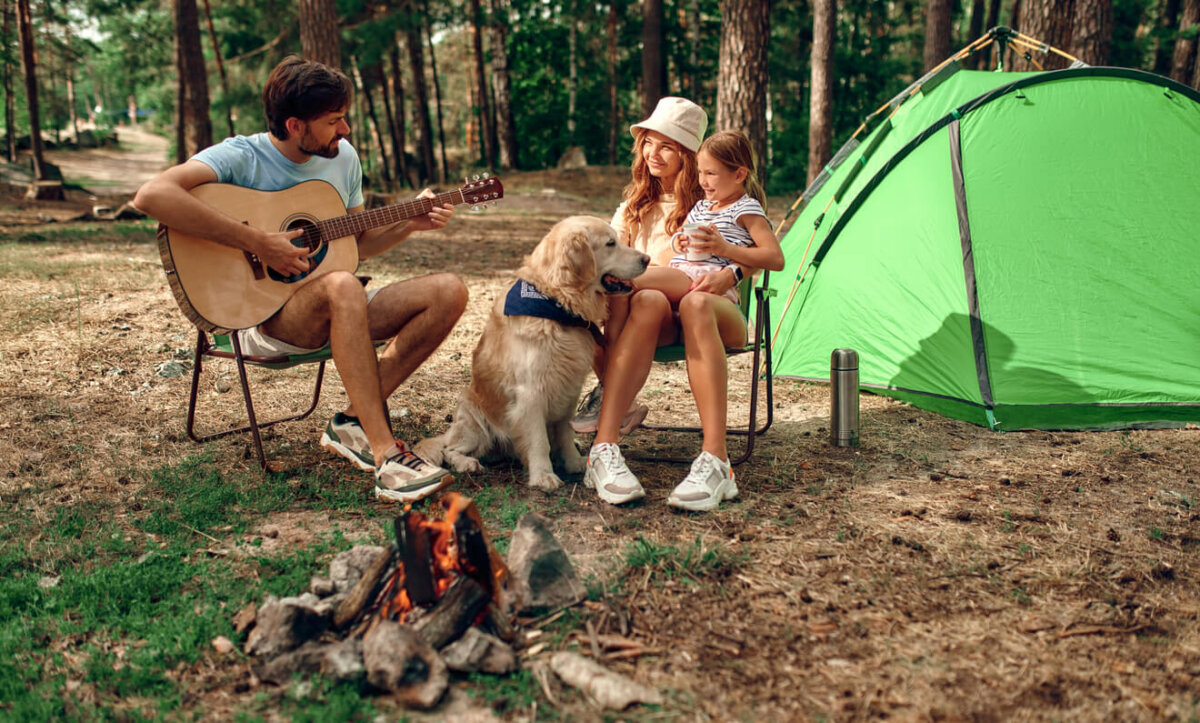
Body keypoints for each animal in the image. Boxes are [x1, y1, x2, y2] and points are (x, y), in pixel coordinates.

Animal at [417, 213, 652, 490]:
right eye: (610, 243)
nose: (647, 259)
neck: (558, 303)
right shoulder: (531, 392)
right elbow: (539, 440)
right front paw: (543, 475)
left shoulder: (569, 388)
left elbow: (564, 431)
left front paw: (573, 461)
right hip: (473, 419)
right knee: (449, 449)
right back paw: (467, 463)